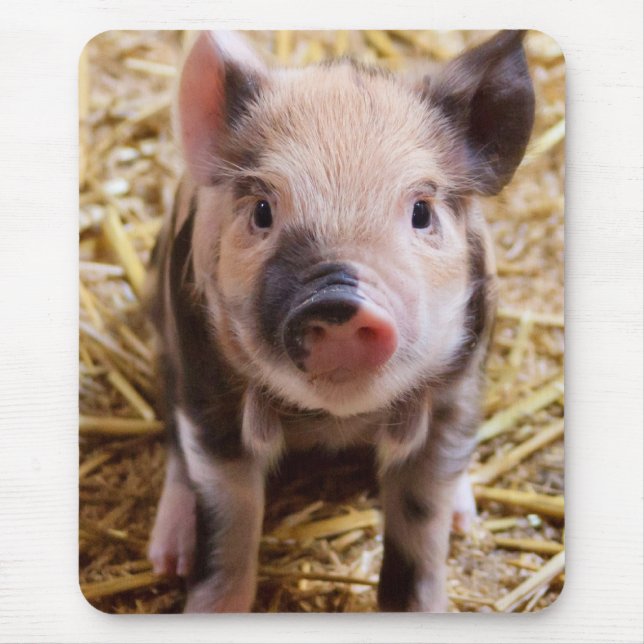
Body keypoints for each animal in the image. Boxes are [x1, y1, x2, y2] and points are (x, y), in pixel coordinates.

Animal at [146, 29, 535, 613]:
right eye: (262, 210)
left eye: (421, 212)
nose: (337, 301)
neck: (336, 420)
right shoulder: (207, 386)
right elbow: (228, 524)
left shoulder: (457, 392)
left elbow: (421, 530)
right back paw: (166, 557)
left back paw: (466, 521)